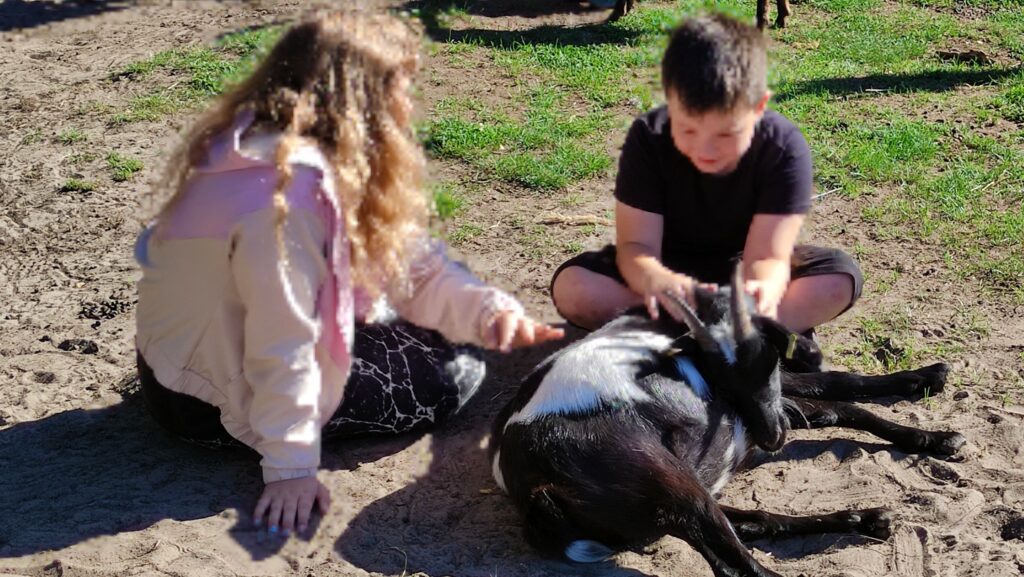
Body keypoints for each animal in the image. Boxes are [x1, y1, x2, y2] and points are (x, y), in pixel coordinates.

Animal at [490, 265, 965, 577]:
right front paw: (928, 398)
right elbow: (839, 387)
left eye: (766, 358)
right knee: (742, 566)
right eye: (718, 372)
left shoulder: (777, 402)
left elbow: (846, 399)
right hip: (673, 486)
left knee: (757, 523)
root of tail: (531, 486)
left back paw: (862, 519)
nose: (772, 439)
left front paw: (932, 426)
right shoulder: (770, 402)